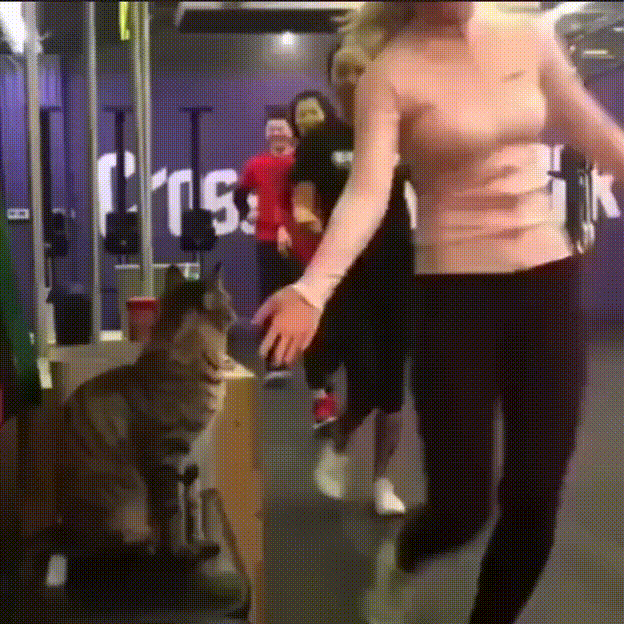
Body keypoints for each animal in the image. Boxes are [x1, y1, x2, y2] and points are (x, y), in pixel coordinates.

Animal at [55, 263, 237, 550]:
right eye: (228, 301)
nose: (235, 314)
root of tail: (66, 531)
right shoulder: (168, 455)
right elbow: (174, 512)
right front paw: (182, 550)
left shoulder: (193, 454)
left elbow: (194, 504)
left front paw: (200, 541)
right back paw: (145, 540)